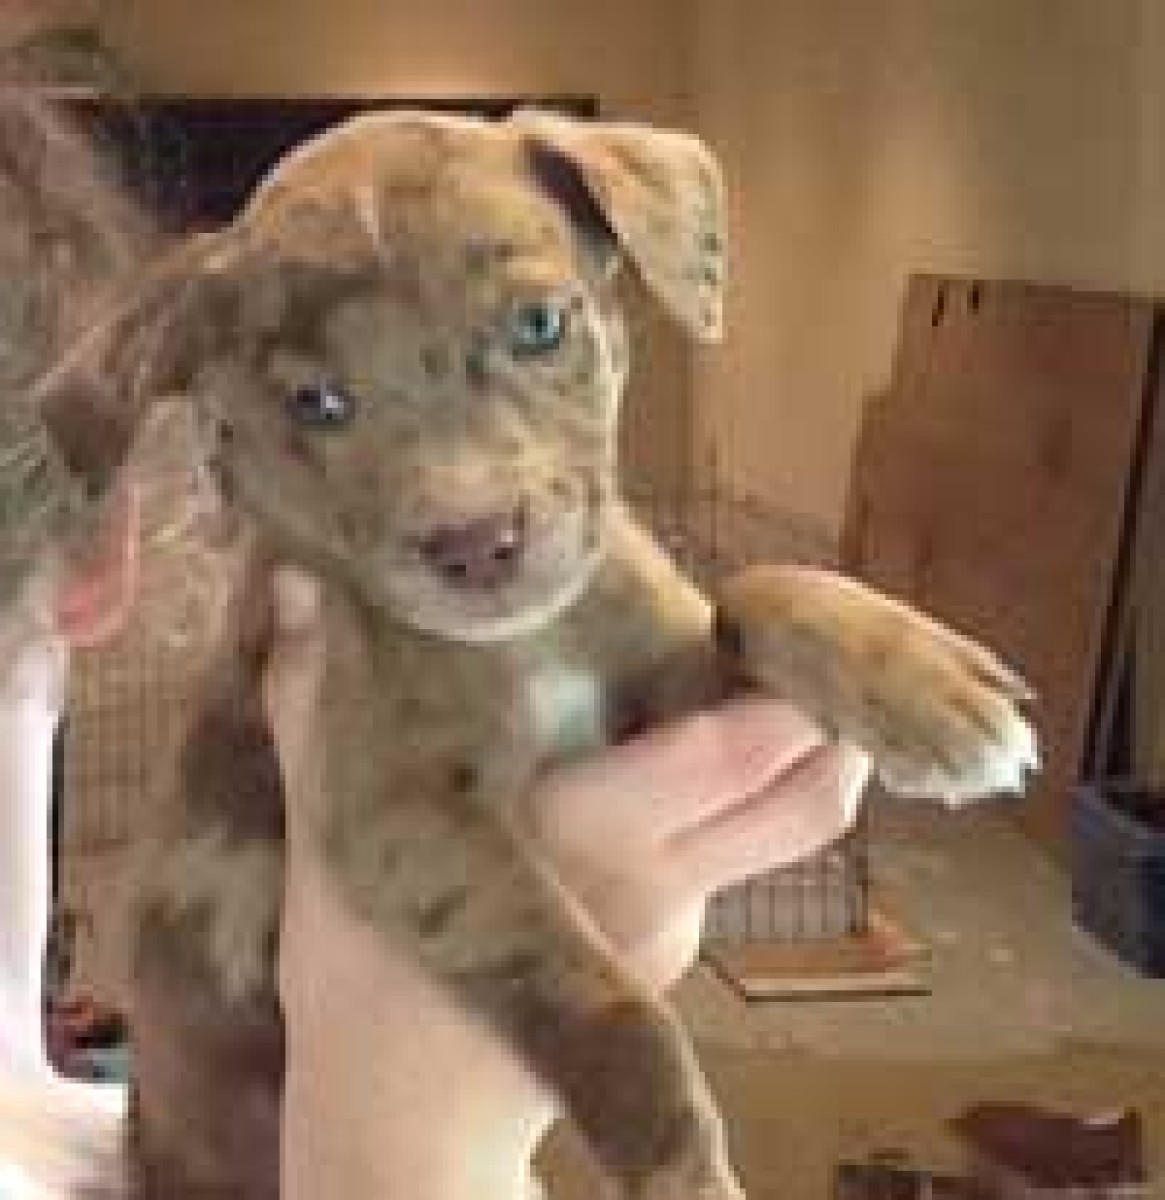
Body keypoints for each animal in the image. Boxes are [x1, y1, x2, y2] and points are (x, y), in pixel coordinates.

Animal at [24, 108, 1037, 1198]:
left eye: (540, 325)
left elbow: (757, 590)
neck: (535, 641)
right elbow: (608, 1004)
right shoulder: (402, 813)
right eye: (315, 403)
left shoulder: (663, 692)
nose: (473, 544)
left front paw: (926, 687)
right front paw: (678, 1164)